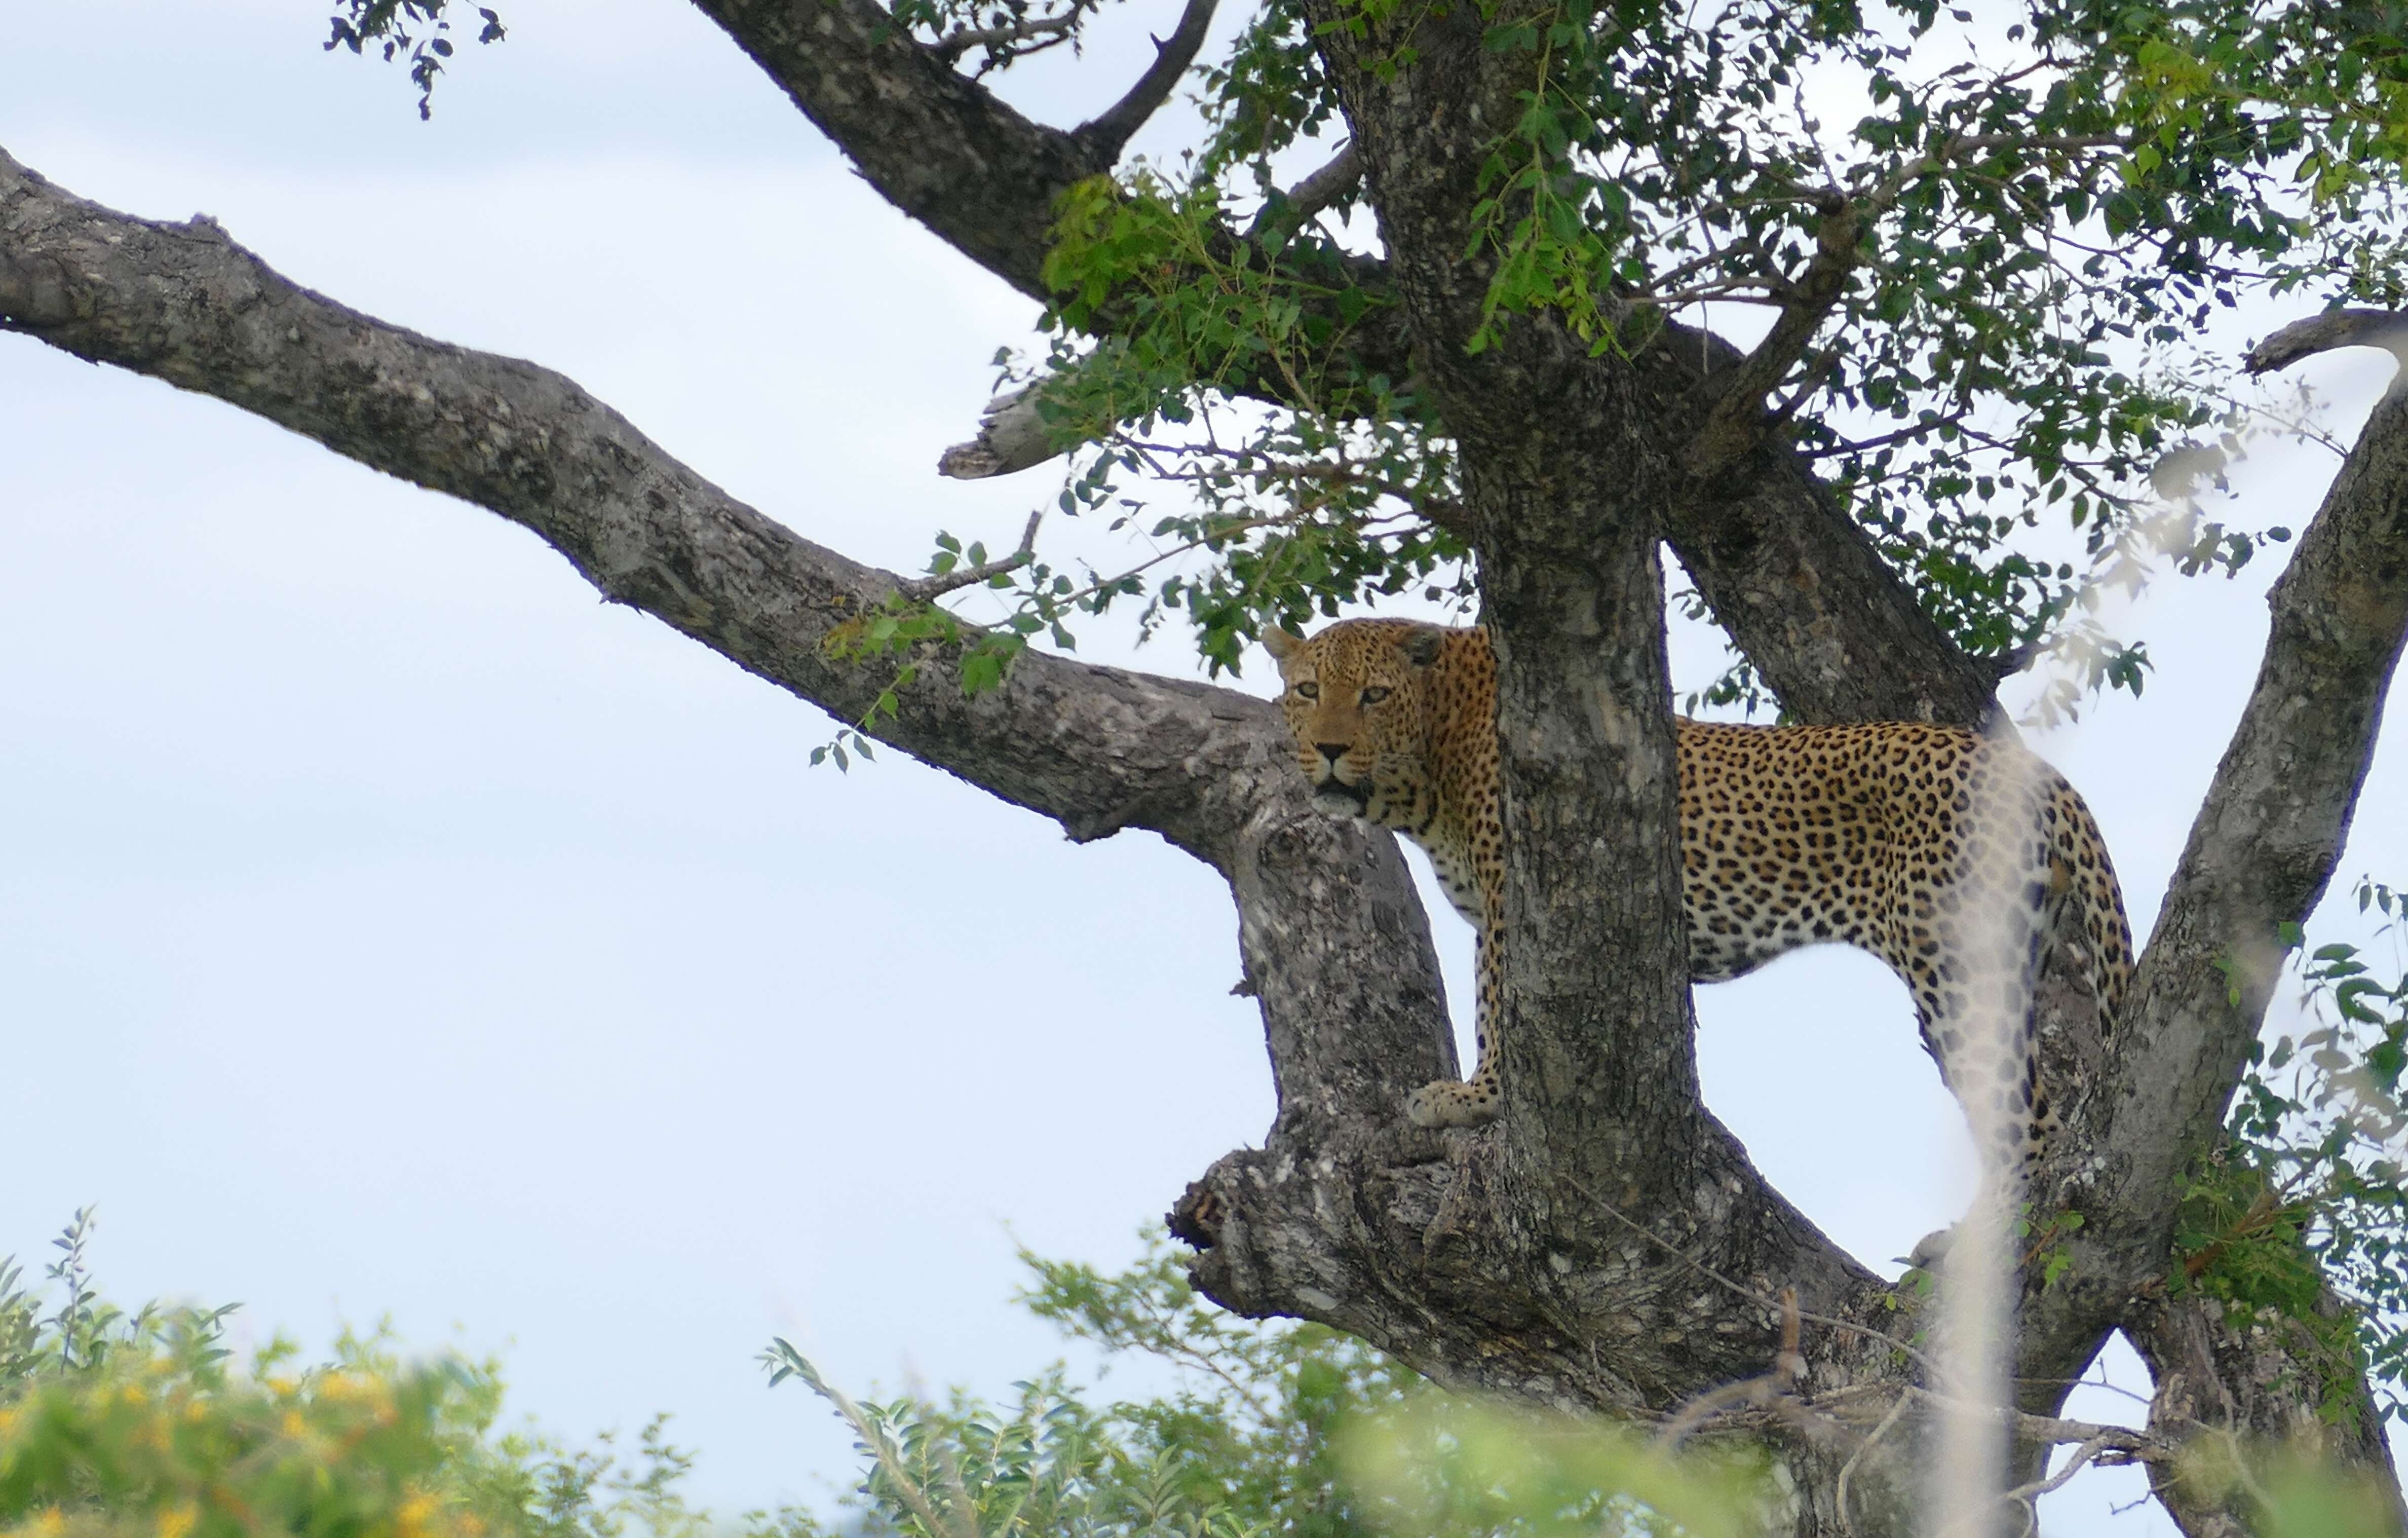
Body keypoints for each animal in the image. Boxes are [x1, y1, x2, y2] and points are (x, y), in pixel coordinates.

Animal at [1262, 614, 2128, 1165]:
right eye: (1306, 691)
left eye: (1373, 695)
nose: (1330, 748)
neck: (1429, 761)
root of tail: (2039, 774)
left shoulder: (1514, 895)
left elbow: (1498, 1005)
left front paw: (1477, 1098)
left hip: (1954, 959)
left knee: (2029, 1124)